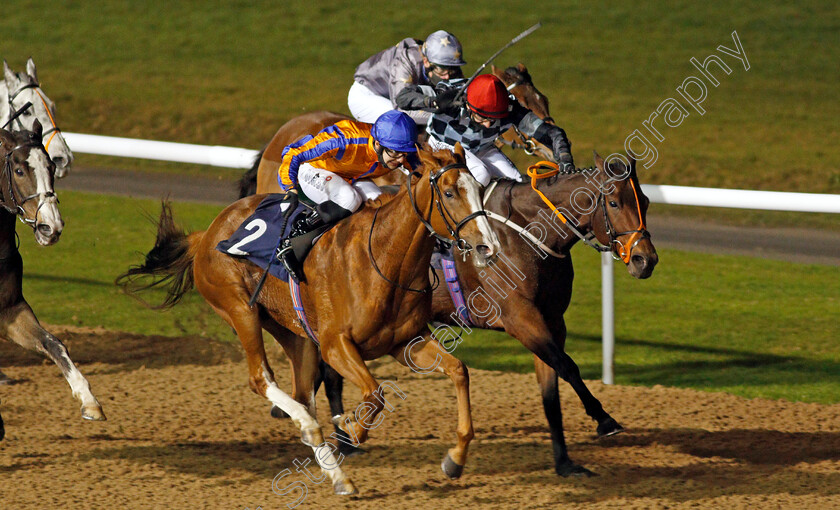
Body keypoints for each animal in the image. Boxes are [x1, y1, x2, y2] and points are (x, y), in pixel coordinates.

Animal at [0, 121, 105, 440]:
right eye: (19, 170)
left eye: (51, 165)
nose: (51, 227)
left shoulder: (10, 312)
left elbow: (54, 343)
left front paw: (89, 401)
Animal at [117, 145, 498, 496]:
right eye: (449, 192)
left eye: (479, 188)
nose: (487, 247)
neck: (384, 256)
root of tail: (207, 233)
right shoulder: (335, 344)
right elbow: (375, 394)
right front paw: (351, 428)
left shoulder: (407, 342)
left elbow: (459, 371)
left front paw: (456, 458)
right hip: (240, 310)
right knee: (261, 379)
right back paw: (315, 433)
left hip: (295, 332)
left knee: (302, 394)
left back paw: (338, 475)